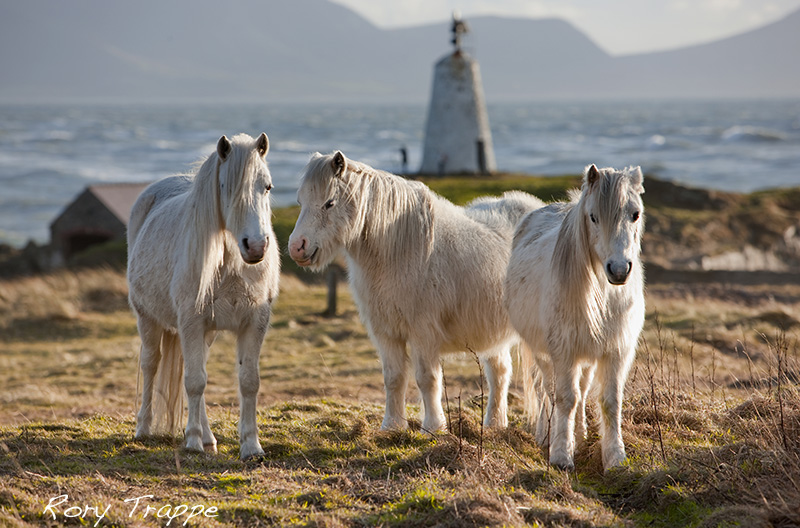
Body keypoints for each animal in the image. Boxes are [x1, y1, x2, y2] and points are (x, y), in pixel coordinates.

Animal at [128, 134, 282, 460]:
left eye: (267, 186)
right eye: (226, 187)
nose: (256, 246)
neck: (229, 266)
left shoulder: (253, 323)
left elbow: (248, 382)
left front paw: (251, 446)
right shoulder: (190, 323)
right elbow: (195, 382)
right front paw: (193, 441)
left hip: (205, 333)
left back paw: (210, 438)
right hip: (147, 318)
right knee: (151, 364)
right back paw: (145, 428)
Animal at [288, 153, 544, 434]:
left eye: (329, 203)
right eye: (300, 201)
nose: (297, 247)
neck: (397, 251)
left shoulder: (423, 333)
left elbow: (427, 379)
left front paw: (433, 427)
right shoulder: (386, 333)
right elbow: (394, 378)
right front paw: (392, 426)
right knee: (500, 373)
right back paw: (494, 425)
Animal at [510, 165, 648, 470]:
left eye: (635, 214)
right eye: (593, 217)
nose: (619, 270)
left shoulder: (616, 350)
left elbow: (610, 401)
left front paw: (614, 457)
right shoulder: (563, 351)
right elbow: (565, 399)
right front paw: (561, 455)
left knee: (583, 390)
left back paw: (581, 435)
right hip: (544, 353)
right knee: (547, 392)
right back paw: (547, 435)